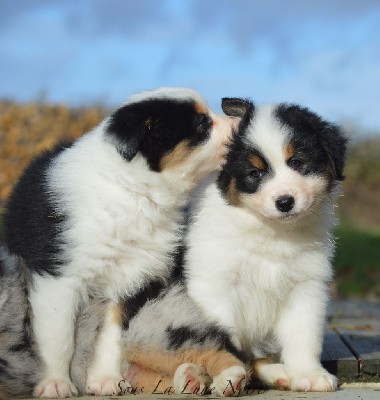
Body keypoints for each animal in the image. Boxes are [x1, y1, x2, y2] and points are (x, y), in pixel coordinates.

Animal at [1, 86, 236, 396]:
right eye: (201, 123)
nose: (241, 122)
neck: (133, 190)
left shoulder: (130, 279)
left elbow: (110, 337)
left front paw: (104, 380)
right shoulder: (59, 278)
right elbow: (58, 338)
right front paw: (55, 384)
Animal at [184, 98, 348, 392]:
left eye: (298, 162)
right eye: (254, 173)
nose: (284, 202)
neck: (271, 232)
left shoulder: (305, 286)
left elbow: (303, 335)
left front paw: (309, 374)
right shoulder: (215, 286)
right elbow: (223, 339)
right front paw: (226, 375)